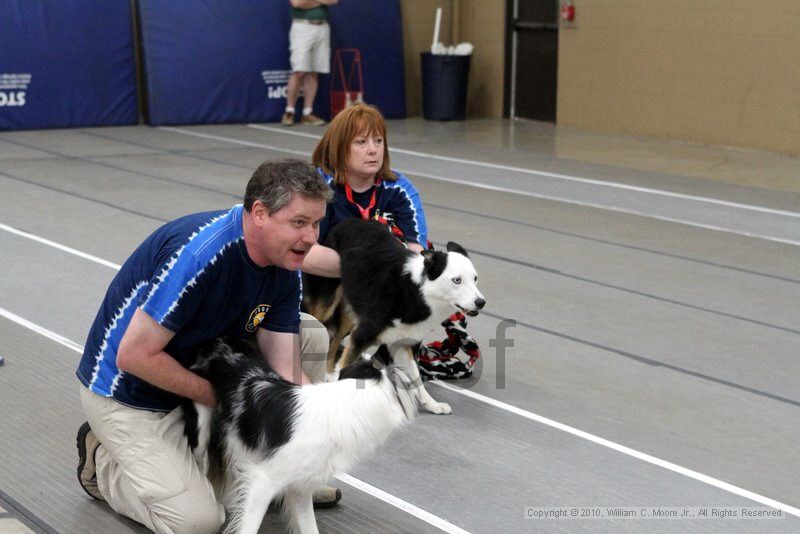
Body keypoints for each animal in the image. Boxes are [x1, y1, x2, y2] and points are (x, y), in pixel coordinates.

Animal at [184, 340, 416, 534]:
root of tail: (215, 343)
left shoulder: (300, 487)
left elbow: (309, 528)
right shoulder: (263, 481)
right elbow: (249, 527)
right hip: (201, 427)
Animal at [304, 220, 484, 416]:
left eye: (475, 278)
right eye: (457, 280)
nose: (481, 302)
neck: (416, 291)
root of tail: (347, 222)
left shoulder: (403, 342)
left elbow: (417, 379)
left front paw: (433, 405)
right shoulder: (361, 336)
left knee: (334, 339)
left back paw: (328, 375)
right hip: (326, 304)